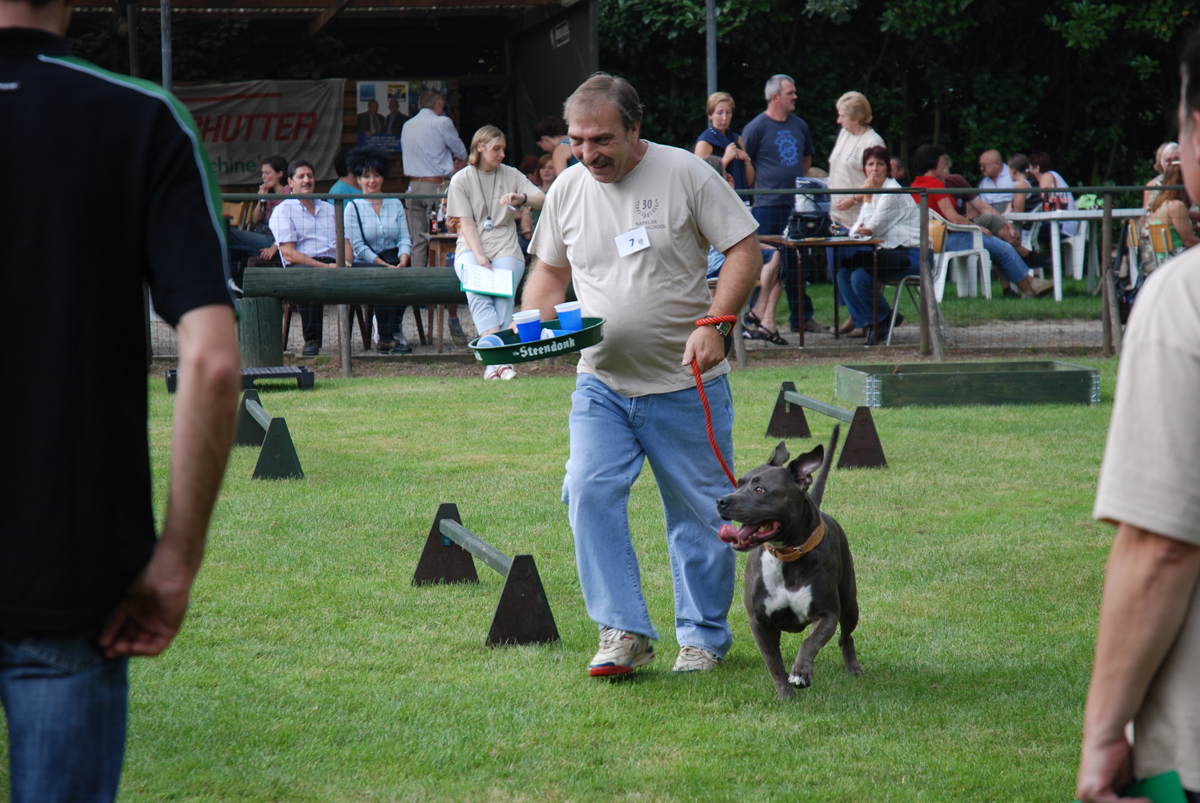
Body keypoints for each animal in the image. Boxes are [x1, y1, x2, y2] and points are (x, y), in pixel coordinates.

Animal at [717, 427, 863, 699]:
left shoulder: (827, 614)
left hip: (850, 604)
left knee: (846, 635)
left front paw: (800, 673)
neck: (786, 556)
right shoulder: (759, 621)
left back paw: (853, 667)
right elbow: (774, 662)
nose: (721, 500)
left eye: (759, 489)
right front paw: (786, 695)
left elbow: (809, 643)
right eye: (738, 484)